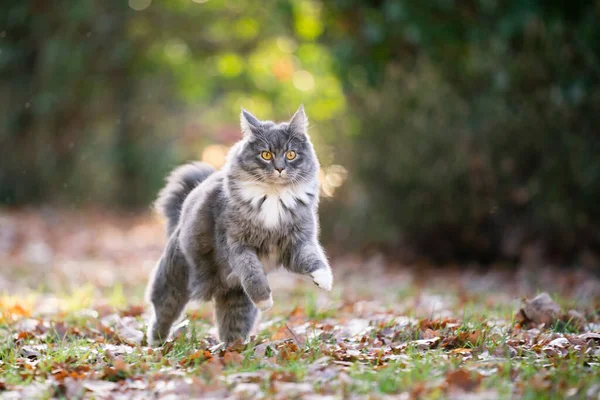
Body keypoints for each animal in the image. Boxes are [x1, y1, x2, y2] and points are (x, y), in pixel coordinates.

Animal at [146, 104, 332, 346]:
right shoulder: (236, 244)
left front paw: (324, 279)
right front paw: (264, 300)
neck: (274, 196)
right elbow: (252, 272)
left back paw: (233, 349)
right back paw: (157, 345)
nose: (280, 168)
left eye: (291, 154)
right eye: (266, 154)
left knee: (231, 330)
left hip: (237, 301)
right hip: (173, 282)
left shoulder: (297, 242)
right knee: (161, 315)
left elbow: (313, 257)